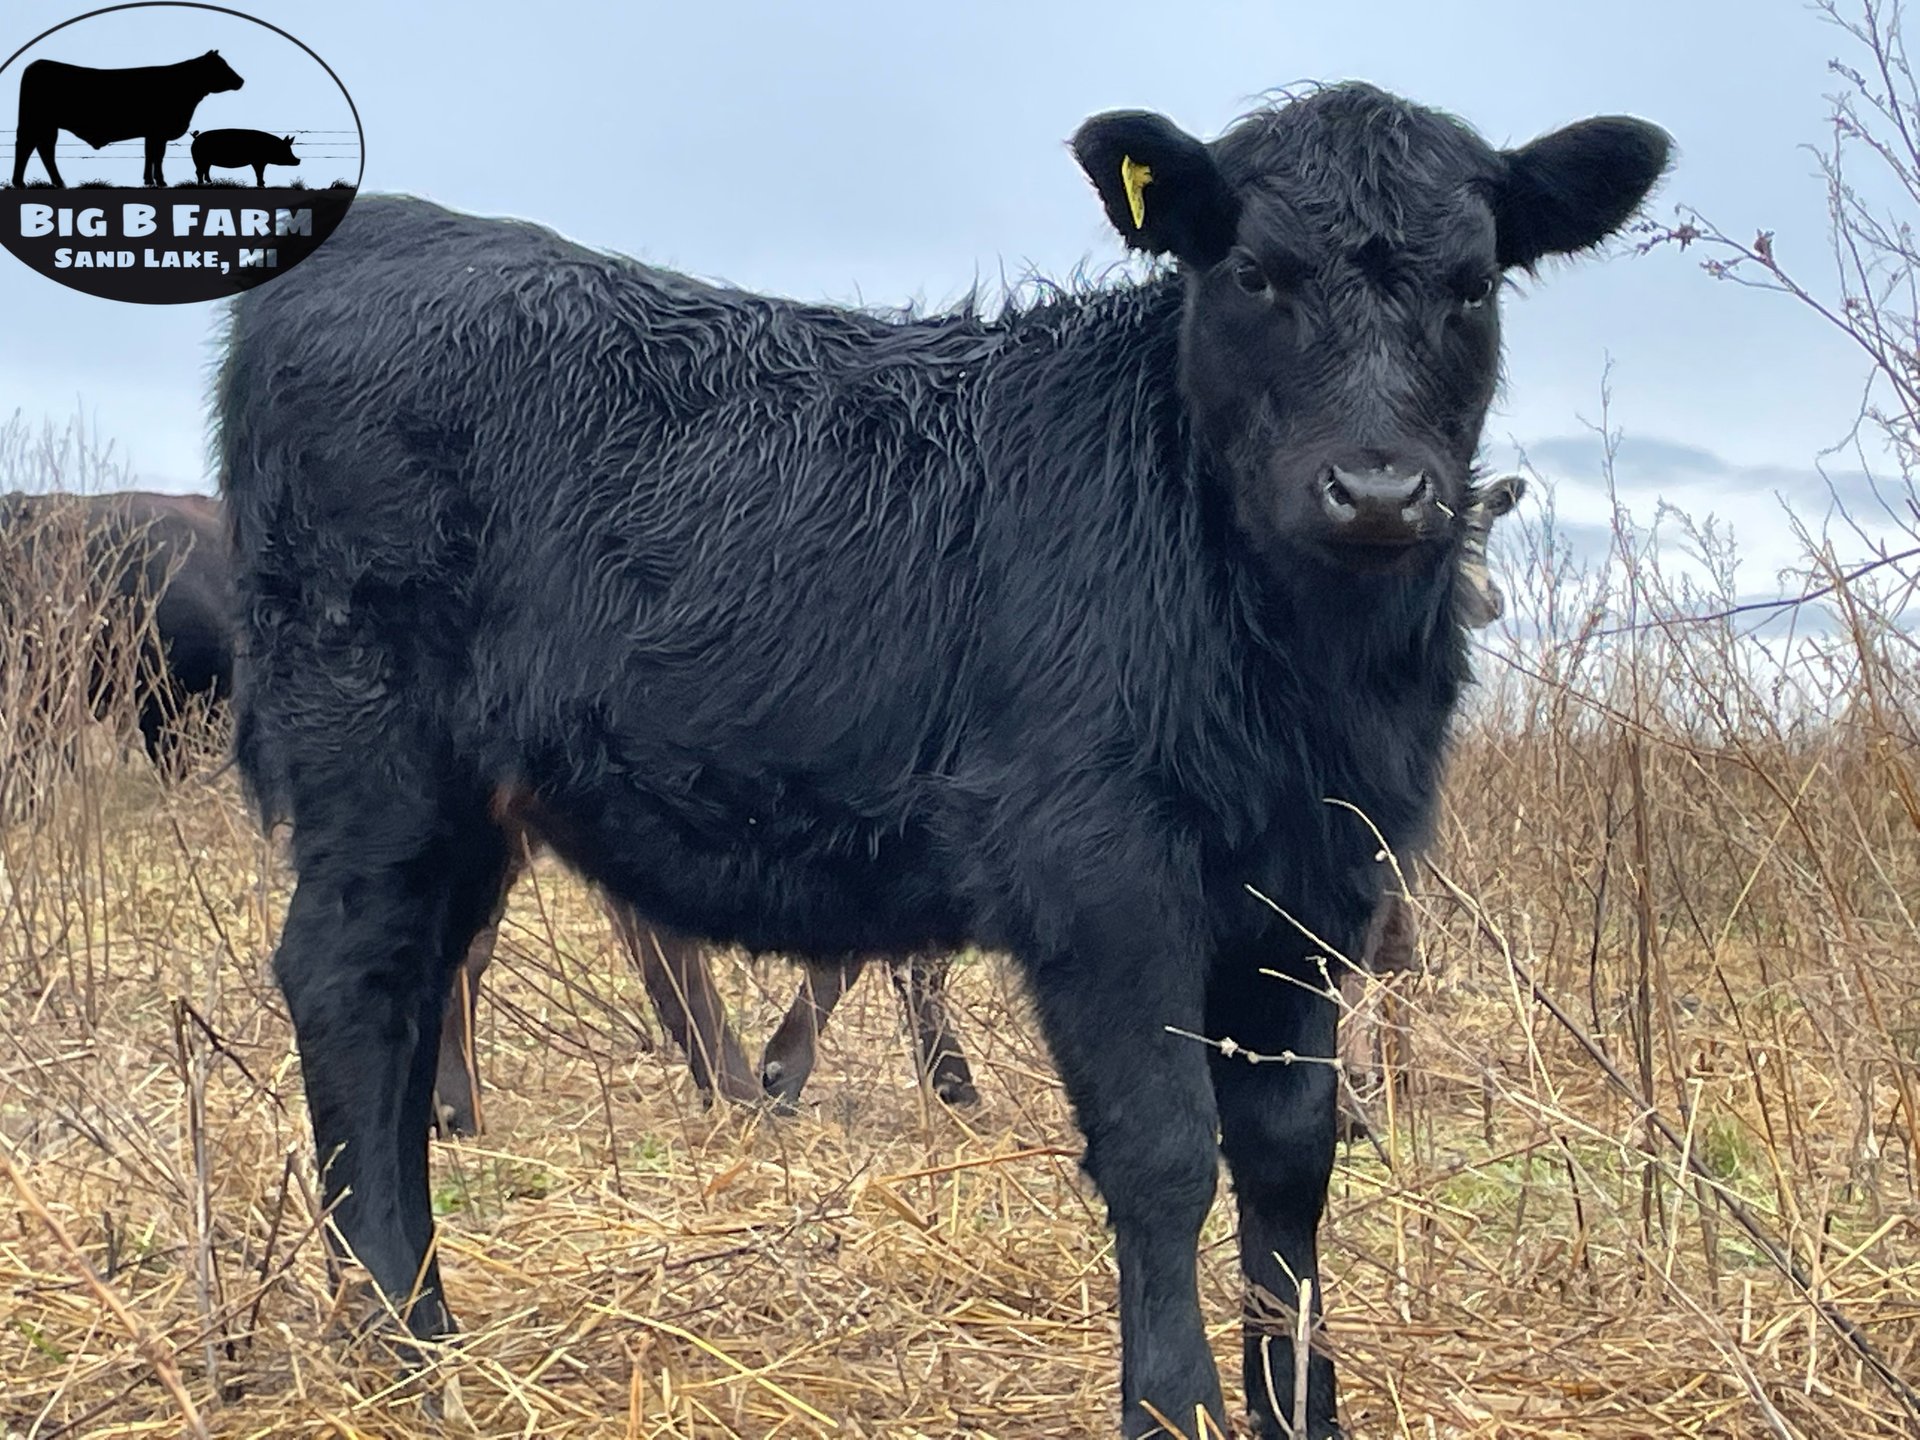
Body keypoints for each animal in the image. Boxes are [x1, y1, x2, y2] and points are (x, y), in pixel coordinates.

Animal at [10, 50, 244, 188]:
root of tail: (36, 64)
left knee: (42, 148)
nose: (241, 81)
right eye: (221, 66)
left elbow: (150, 155)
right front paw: (160, 181)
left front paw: (149, 180)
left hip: (46, 125)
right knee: (28, 146)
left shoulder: (151, 133)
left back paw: (54, 182)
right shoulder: (159, 131)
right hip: (37, 121)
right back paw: (23, 182)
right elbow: (158, 156)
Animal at [215, 83, 1668, 1438]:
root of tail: (391, 228)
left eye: (1471, 281)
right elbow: (1163, 1150)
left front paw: (1299, 1406)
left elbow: (1290, 1158)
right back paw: (402, 1343)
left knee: (412, 1004)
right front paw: (1173, 1403)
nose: (1376, 491)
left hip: (469, 803)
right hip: (373, 750)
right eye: (1255, 271)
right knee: (352, 985)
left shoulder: (1313, 880)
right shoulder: (1100, 862)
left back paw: (404, 1318)